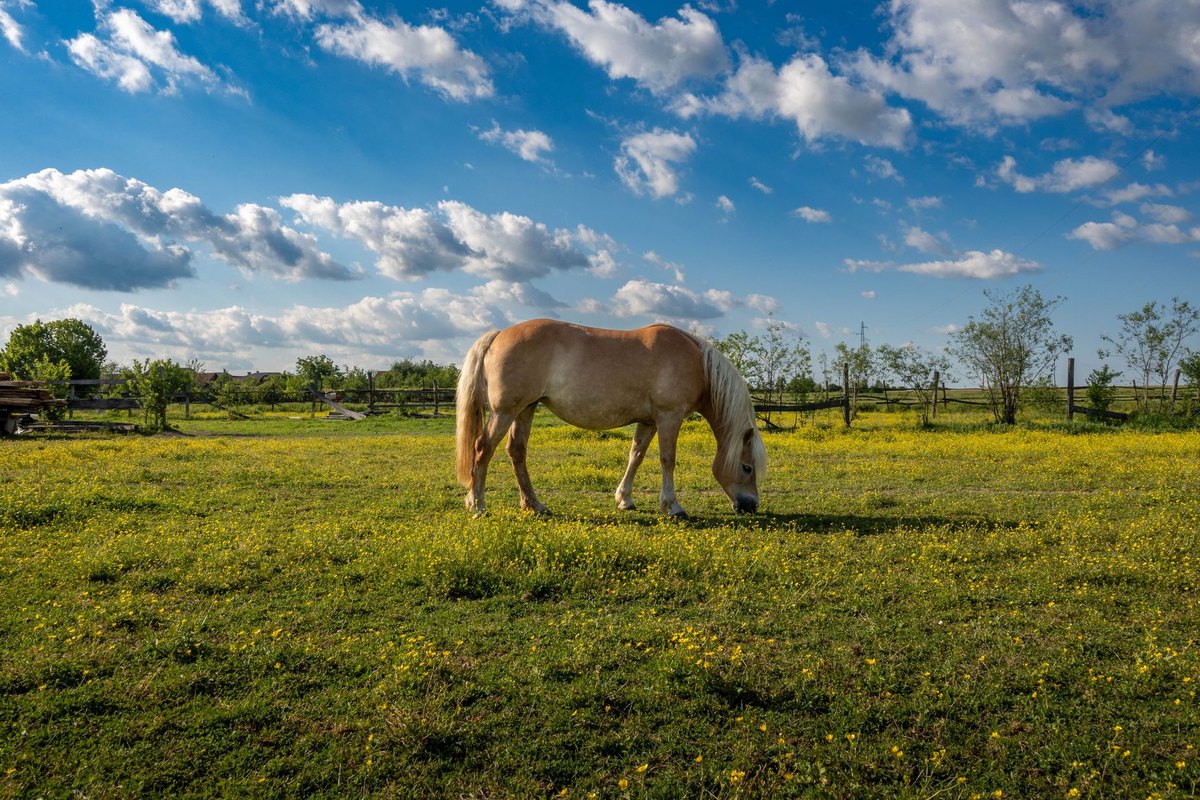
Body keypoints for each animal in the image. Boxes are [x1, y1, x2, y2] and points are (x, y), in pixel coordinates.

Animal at [455, 319, 766, 518]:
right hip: (505, 412)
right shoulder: (669, 416)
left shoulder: (648, 421)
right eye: (747, 468)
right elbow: (667, 460)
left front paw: (625, 499)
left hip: (526, 410)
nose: (751, 507)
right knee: (482, 449)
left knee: (516, 452)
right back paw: (477, 505)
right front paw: (673, 507)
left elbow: (636, 456)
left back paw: (534, 505)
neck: (697, 363)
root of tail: (499, 334)